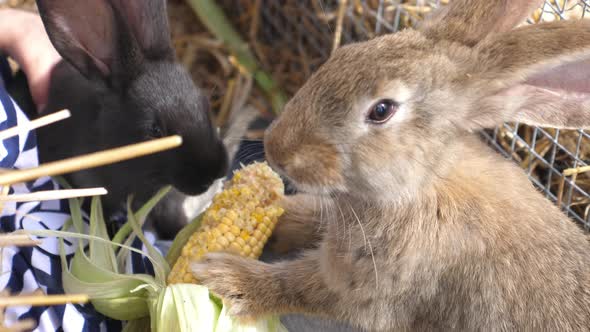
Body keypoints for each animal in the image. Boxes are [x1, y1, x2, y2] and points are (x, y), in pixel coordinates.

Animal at [191, 0, 590, 330]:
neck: (421, 183)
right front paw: (268, 210)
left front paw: (223, 278)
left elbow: (299, 286)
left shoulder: (372, 288)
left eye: (382, 110)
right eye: (345, 52)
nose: (276, 149)